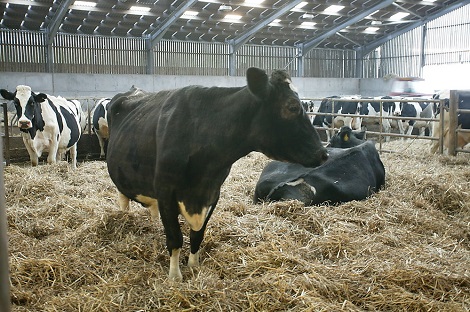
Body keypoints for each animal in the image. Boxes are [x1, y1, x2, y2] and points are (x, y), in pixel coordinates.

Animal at [104, 67, 328, 280]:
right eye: (292, 107)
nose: (324, 153)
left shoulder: (213, 193)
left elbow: (198, 235)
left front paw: (194, 266)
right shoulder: (165, 192)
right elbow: (175, 238)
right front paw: (175, 276)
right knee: (124, 200)